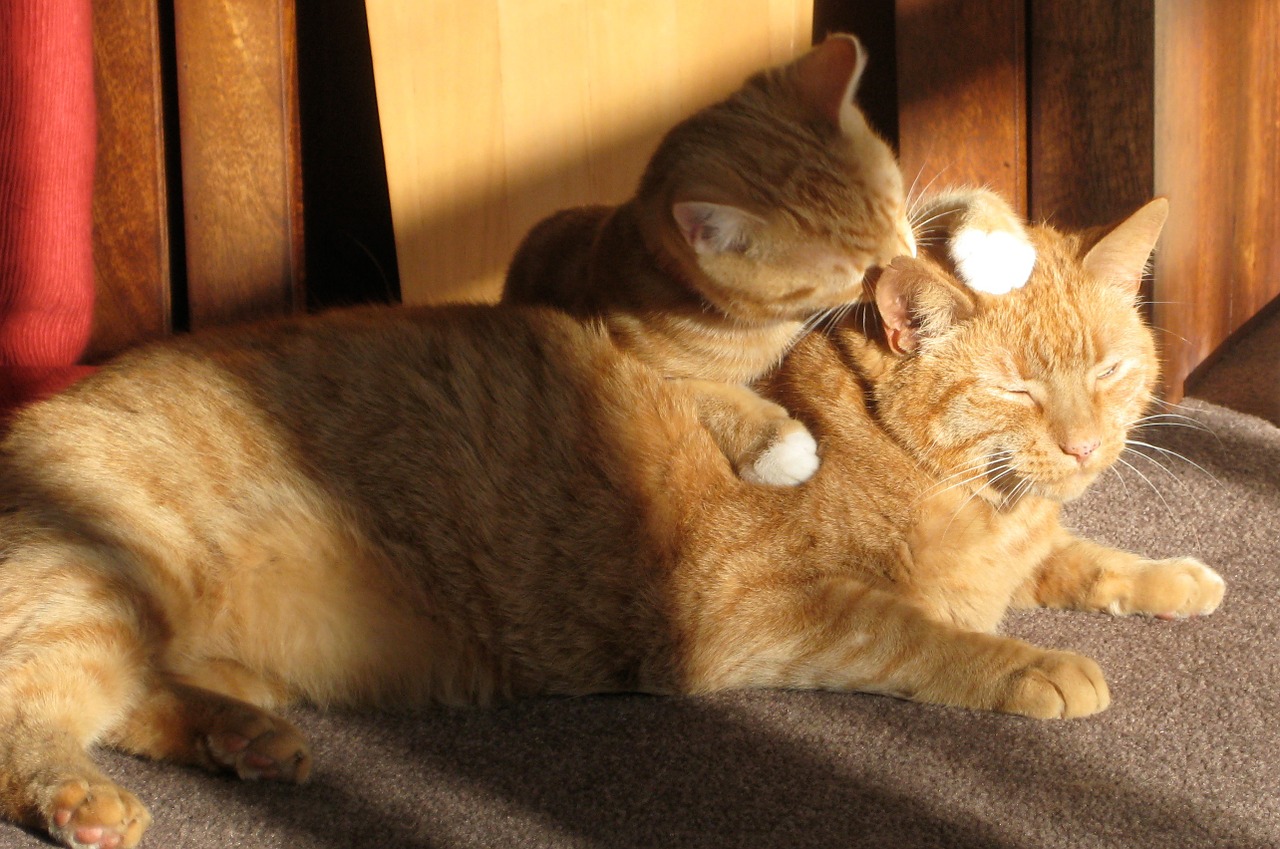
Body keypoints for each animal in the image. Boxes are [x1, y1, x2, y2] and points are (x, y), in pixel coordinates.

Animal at [0, 194, 1218, 849]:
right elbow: (925, 633)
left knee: (139, 701)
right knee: (34, 724)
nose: (1083, 446)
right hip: (101, 597)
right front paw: (1034, 665)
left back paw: (245, 738)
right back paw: (89, 798)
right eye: (1016, 389)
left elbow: (1079, 558)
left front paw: (1168, 576)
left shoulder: (1025, 543)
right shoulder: (760, 614)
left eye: (1107, 372)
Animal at [504, 33, 916, 489]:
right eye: (853, 274)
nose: (905, 261)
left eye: (896, 211)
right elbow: (702, 393)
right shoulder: (615, 354)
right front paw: (775, 443)